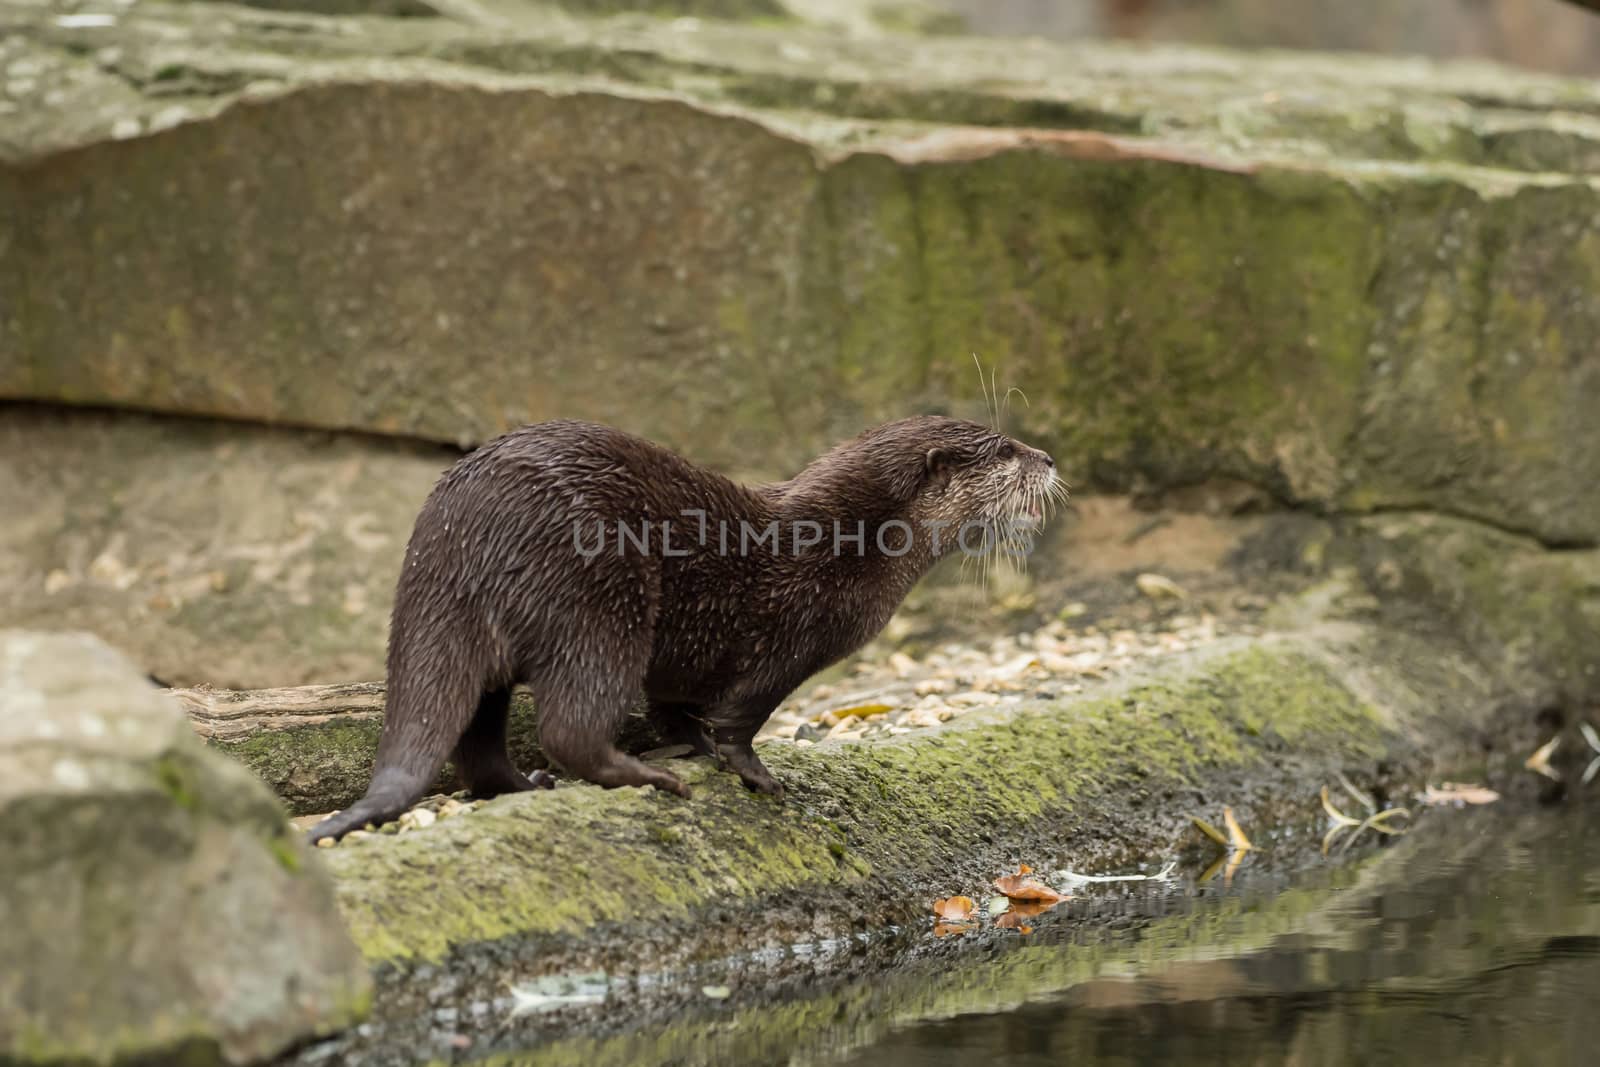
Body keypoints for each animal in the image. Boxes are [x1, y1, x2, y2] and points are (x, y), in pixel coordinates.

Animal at [312, 415, 1062, 844]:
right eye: (1004, 451)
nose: (1050, 458)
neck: (849, 546)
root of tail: (459, 532)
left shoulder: (692, 665)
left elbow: (676, 707)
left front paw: (691, 746)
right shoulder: (789, 637)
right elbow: (740, 719)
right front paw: (753, 775)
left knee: (477, 739)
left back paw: (531, 786)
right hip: (599, 597)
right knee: (570, 722)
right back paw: (647, 780)